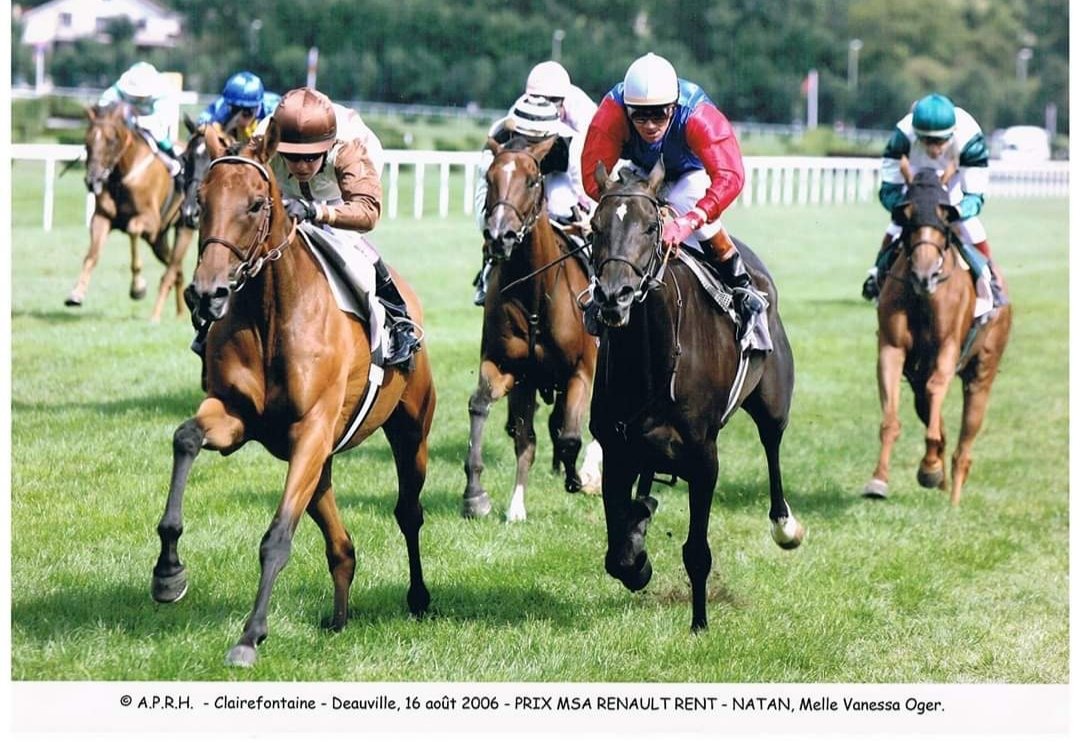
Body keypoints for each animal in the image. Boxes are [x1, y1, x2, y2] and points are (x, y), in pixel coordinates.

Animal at [66, 102, 195, 322]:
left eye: (111, 140)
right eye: (87, 140)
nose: (92, 180)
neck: (123, 173)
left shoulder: (150, 221)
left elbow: (133, 229)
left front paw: (138, 288)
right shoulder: (102, 218)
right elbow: (92, 255)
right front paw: (77, 293)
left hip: (182, 227)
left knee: (174, 265)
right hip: (157, 240)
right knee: (176, 268)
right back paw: (180, 313)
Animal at [150, 124, 437, 667]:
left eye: (256, 203)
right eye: (202, 198)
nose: (207, 294)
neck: (271, 313)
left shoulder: (312, 431)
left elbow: (278, 537)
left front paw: (249, 636)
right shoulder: (238, 416)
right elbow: (185, 438)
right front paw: (168, 573)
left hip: (409, 431)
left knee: (408, 513)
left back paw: (418, 598)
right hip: (320, 464)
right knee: (342, 546)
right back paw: (340, 618)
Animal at [462, 135, 597, 521]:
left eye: (532, 180)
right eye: (489, 178)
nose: (499, 236)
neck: (537, 293)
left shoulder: (581, 370)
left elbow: (570, 436)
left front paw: (577, 480)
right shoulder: (514, 370)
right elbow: (490, 411)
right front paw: (486, 497)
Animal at [587, 161, 804, 632]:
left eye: (651, 227)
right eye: (595, 226)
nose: (614, 296)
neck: (652, 361)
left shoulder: (703, 456)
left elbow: (697, 552)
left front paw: (699, 624)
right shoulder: (617, 446)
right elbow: (617, 554)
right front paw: (637, 556)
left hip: (774, 401)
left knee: (773, 445)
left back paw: (785, 525)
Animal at [863, 168, 1012, 506]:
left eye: (946, 216)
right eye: (905, 214)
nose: (925, 275)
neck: (923, 298)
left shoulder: (948, 347)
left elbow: (937, 389)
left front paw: (930, 466)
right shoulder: (891, 348)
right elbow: (892, 419)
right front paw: (879, 480)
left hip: (982, 373)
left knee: (964, 444)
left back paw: (953, 498)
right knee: (930, 408)